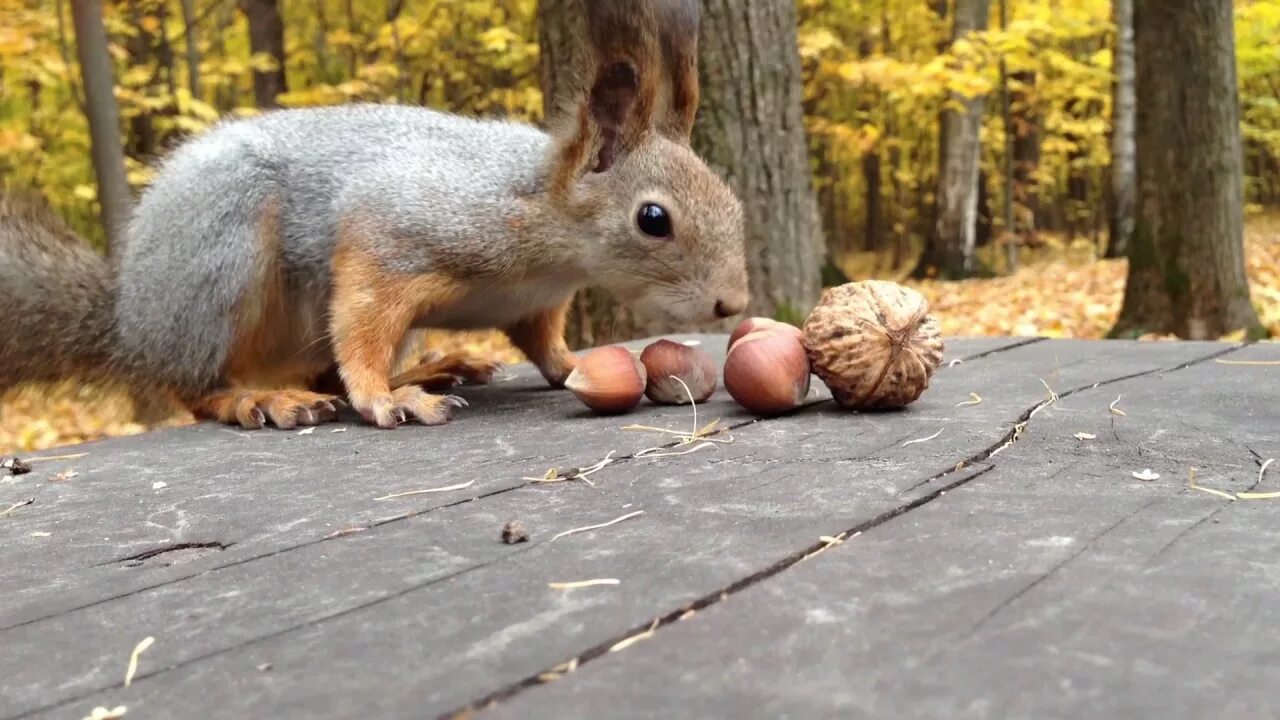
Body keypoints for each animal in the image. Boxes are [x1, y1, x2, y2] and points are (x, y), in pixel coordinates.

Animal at [0, 0, 747, 430]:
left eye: (730, 197)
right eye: (653, 220)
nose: (731, 305)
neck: (549, 229)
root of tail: (133, 322)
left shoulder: (535, 303)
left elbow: (543, 344)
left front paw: (572, 366)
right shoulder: (396, 233)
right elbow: (361, 322)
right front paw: (380, 397)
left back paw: (425, 368)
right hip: (221, 259)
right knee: (195, 383)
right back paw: (261, 399)